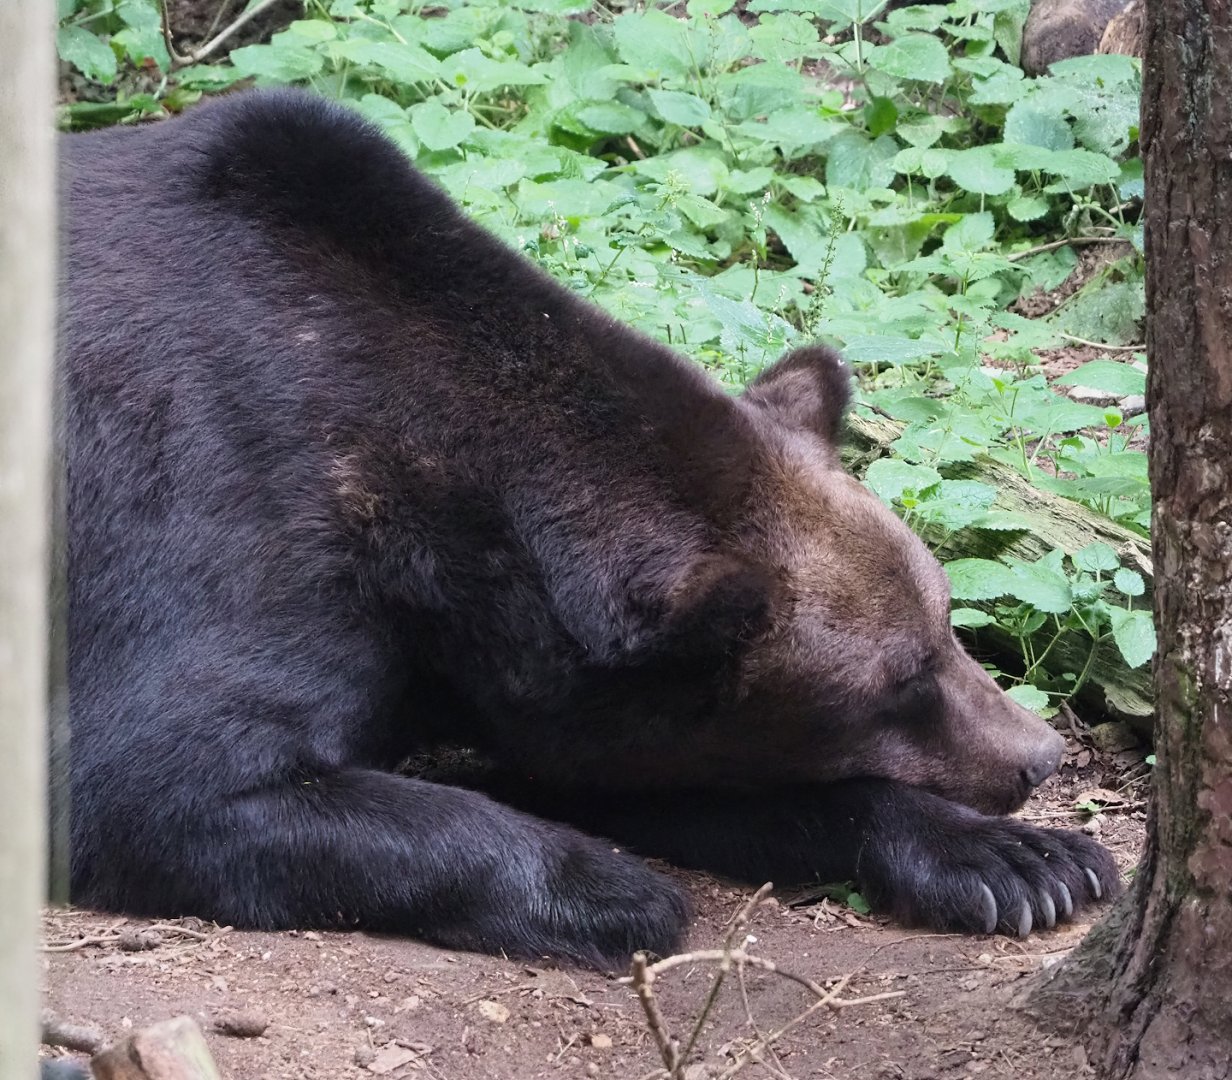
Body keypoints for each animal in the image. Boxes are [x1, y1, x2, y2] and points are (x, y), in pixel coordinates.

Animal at [61, 88, 1119, 969]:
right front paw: (612, 889)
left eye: (945, 623)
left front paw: (1028, 863)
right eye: (900, 680)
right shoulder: (222, 507)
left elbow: (645, 772)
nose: (1037, 756)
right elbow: (163, 782)